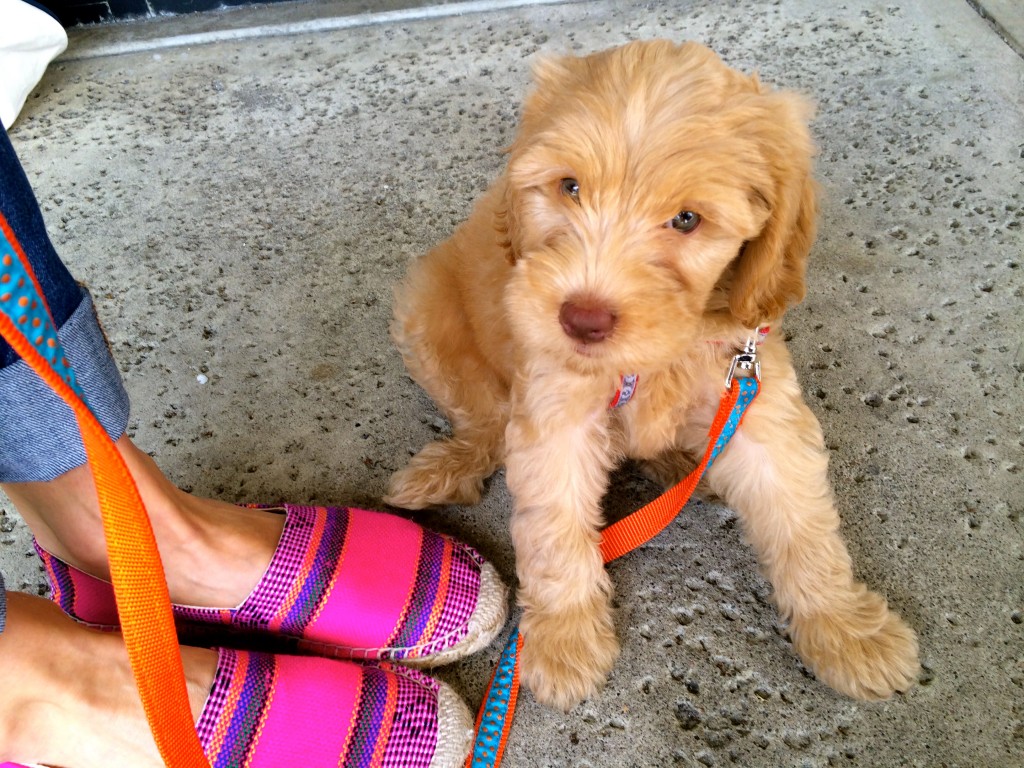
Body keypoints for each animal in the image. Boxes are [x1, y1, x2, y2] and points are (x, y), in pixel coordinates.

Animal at [385, 39, 921, 712]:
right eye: (569, 187)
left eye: (687, 220)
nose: (581, 319)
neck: (662, 354)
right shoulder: (556, 412)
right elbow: (556, 527)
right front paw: (564, 639)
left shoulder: (753, 392)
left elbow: (801, 519)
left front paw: (848, 630)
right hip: (426, 311)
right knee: (482, 420)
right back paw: (449, 467)